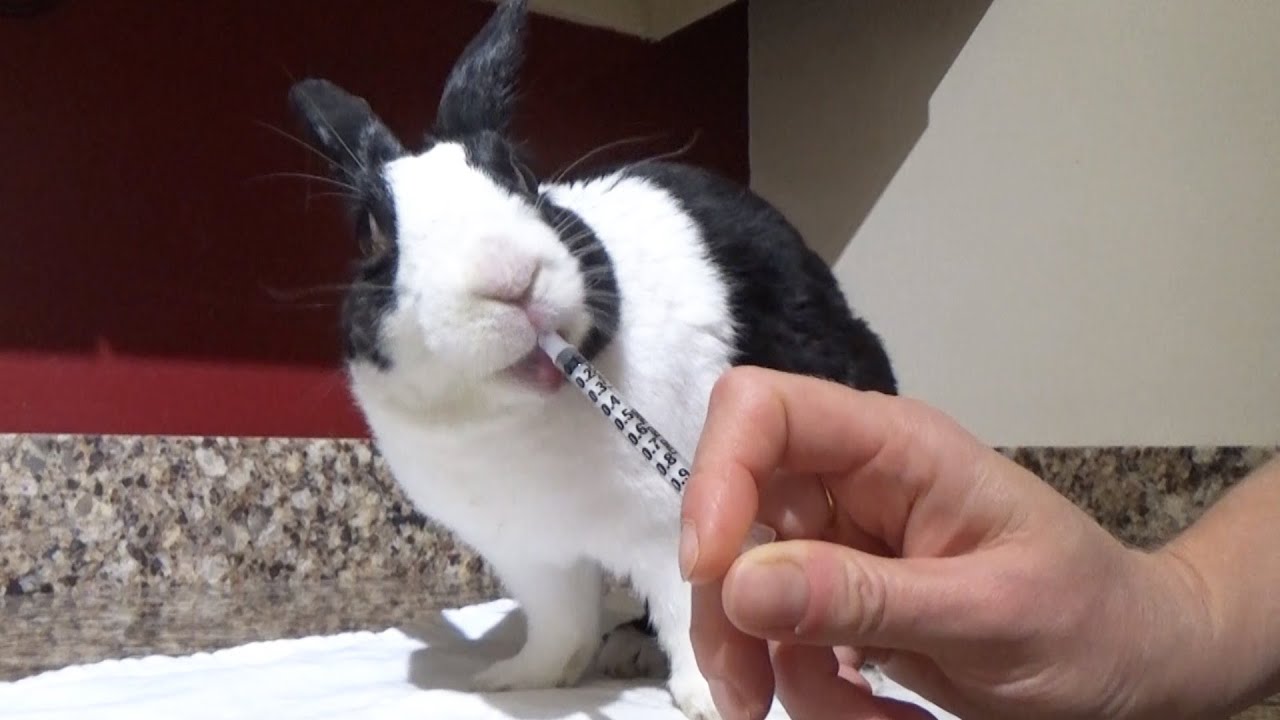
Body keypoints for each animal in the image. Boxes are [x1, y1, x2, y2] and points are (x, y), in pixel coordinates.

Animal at [284, 1, 897, 718]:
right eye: (371, 232)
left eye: (521, 176)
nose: (511, 278)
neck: (522, 417)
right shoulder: (534, 560)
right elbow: (561, 628)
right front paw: (516, 679)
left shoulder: (676, 533)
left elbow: (690, 617)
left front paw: (710, 699)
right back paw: (622, 649)